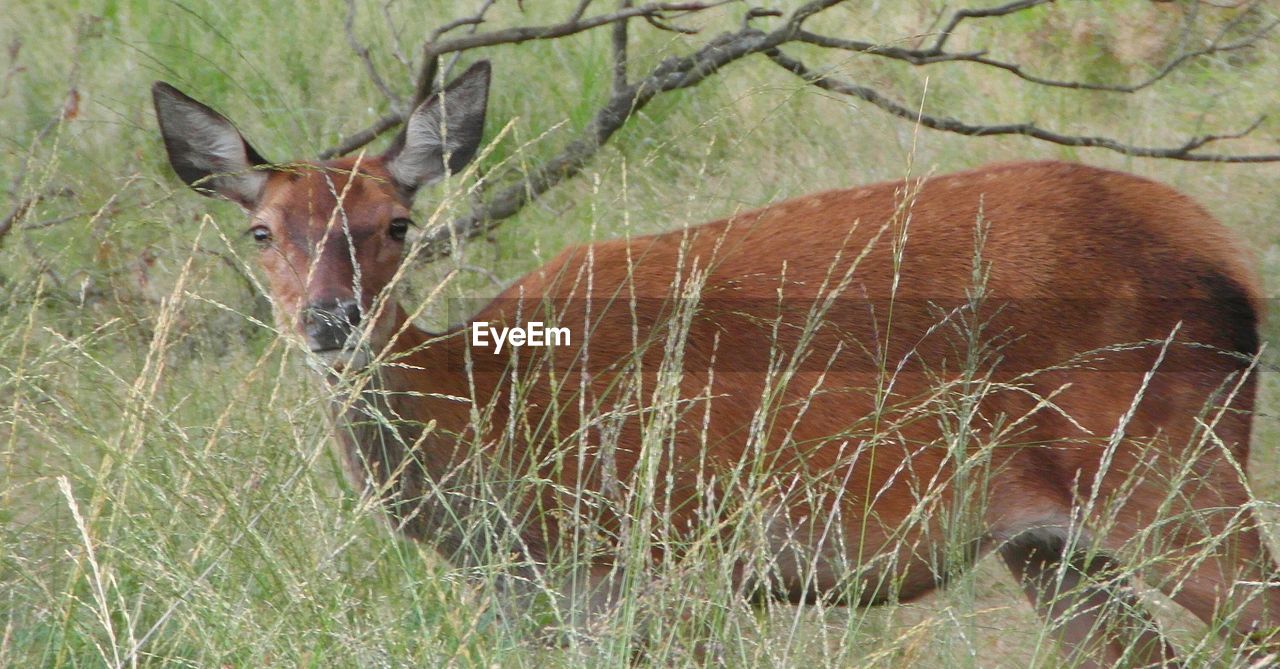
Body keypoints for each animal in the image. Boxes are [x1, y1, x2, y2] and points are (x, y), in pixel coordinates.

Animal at [154, 61, 1274, 665]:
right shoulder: (535, 595)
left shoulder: (657, 557)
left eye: (396, 221)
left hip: (1166, 470)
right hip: (1053, 542)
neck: (489, 415)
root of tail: (1226, 262)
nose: (331, 319)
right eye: (261, 231)